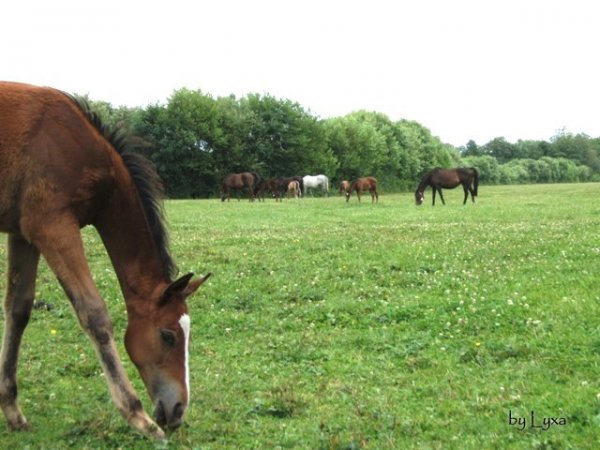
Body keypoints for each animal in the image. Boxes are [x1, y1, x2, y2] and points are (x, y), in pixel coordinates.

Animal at [0, 82, 211, 438]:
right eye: (167, 336)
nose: (178, 409)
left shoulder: (23, 232)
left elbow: (19, 309)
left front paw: (12, 408)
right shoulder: (52, 226)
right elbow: (94, 312)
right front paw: (137, 415)